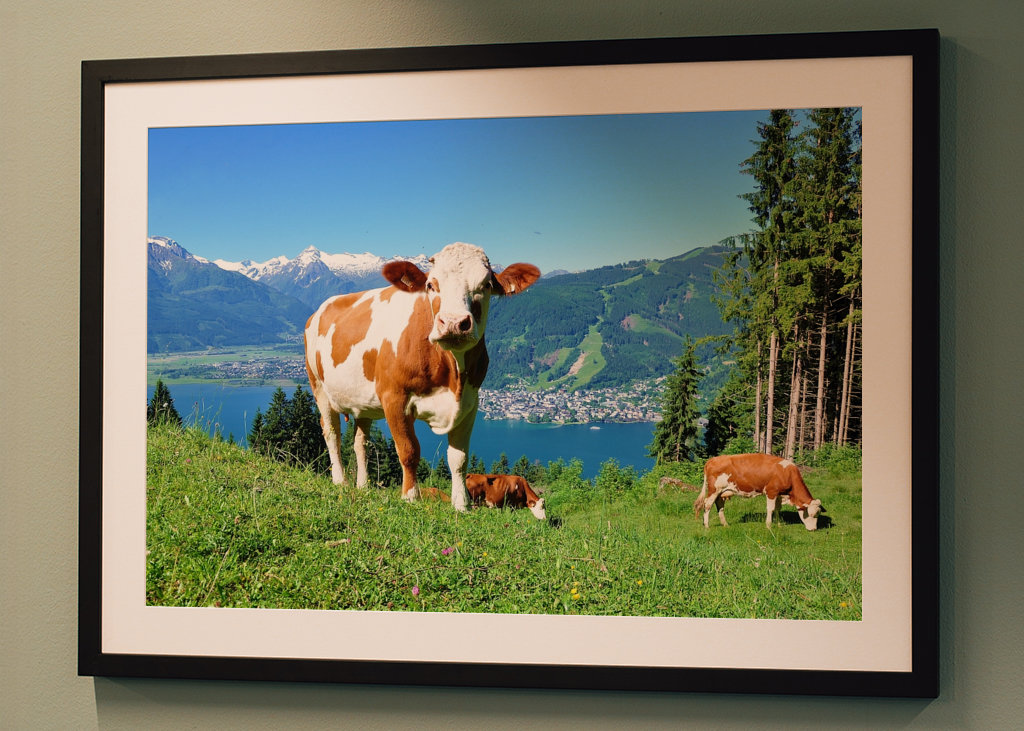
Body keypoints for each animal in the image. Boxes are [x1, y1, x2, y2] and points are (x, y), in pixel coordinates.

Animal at [304, 242, 540, 512]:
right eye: (430, 285)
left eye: (486, 284)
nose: (454, 323)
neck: (452, 376)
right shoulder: (394, 397)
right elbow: (408, 451)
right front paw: (410, 496)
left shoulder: (471, 402)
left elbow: (459, 458)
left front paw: (462, 504)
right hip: (318, 387)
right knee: (331, 433)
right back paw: (340, 480)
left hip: (361, 402)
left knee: (360, 442)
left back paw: (363, 486)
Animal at [694, 453, 823, 531]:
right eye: (812, 514)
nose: (814, 529)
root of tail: (713, 459)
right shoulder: (771, 492)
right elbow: (770, 509)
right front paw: (769, 526)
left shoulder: (779, 494)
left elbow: (777, 509)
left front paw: (778, 524)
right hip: (714, 490)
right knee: (707, 504)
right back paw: (707, 526)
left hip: (722, 492)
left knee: (719, 506)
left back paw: (725, 524)